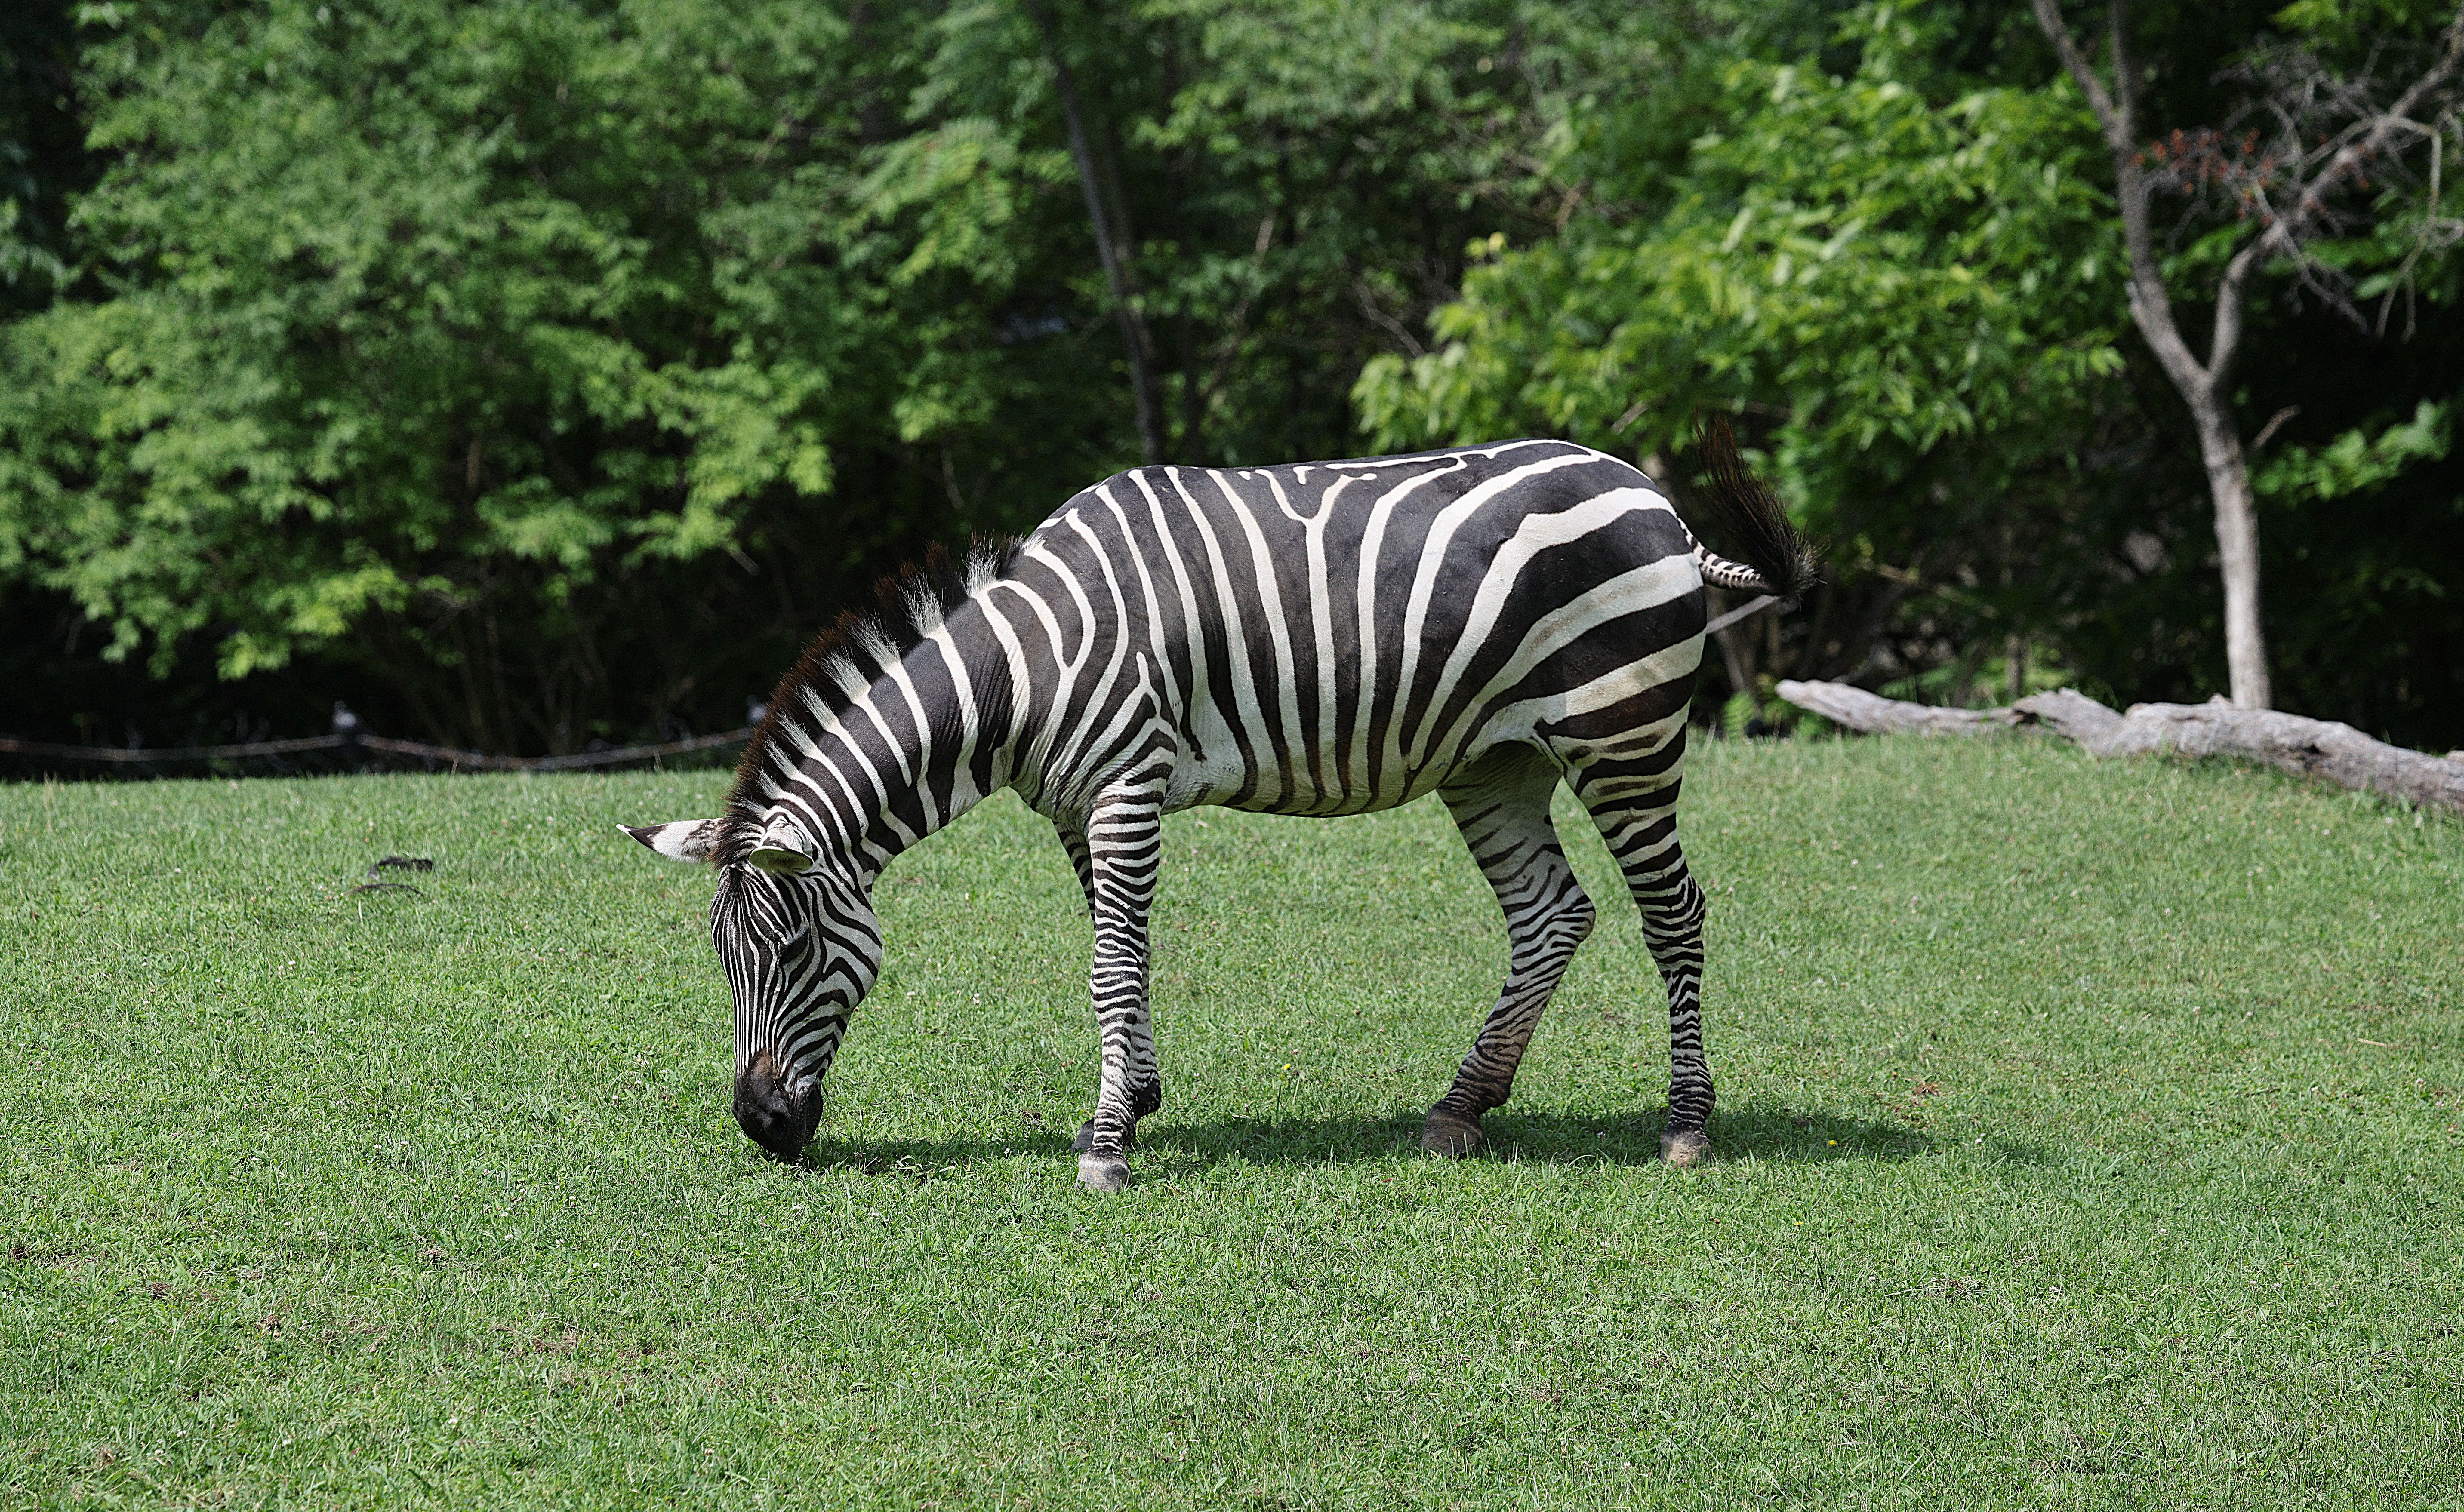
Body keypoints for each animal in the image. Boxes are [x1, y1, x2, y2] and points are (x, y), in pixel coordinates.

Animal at [625, 426, 1816, 1190]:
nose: (762, 1128)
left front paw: (1107, 1144)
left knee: (1672, 914)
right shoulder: (1080, 805)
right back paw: (1460, 1108)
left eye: (787, 955)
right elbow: (1121, 956)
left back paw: (1684, 1125)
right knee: (1551, 916)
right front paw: (1133, 1099)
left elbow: (1109, 964)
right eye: (722, 962)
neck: (1021, 670)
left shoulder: (1124, 785)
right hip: (1497, 760)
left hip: (1620, 731)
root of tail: (1648, 493)